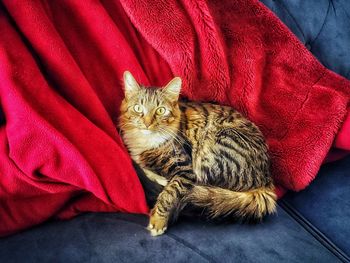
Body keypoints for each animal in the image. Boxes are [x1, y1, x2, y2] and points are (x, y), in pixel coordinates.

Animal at [119, 71, 278, 237]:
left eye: (160, 110)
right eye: (138, 108)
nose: (147, 124)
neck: (146, 142)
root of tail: (266, 181)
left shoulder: (184, 168)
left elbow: (170, 192)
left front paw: (158, 221)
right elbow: (140, 164)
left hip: (211, 150)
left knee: (197, 188)